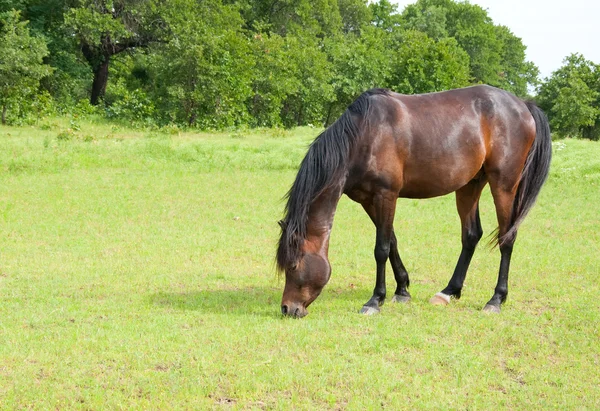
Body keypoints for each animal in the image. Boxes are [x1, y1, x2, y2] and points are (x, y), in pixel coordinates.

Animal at [274, 84, 552, 318]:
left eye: (294, 265)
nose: (288, 308)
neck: (364, 135)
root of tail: (523, 105)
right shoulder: (367, 200)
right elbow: (392, 242)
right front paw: (402, 290)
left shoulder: (386, 195)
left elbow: (381, 248)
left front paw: (375, 300)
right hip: (470, 185)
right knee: (471, 235)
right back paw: (449, 292)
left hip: (504, 185)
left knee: (507, 238)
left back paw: (495, 299)